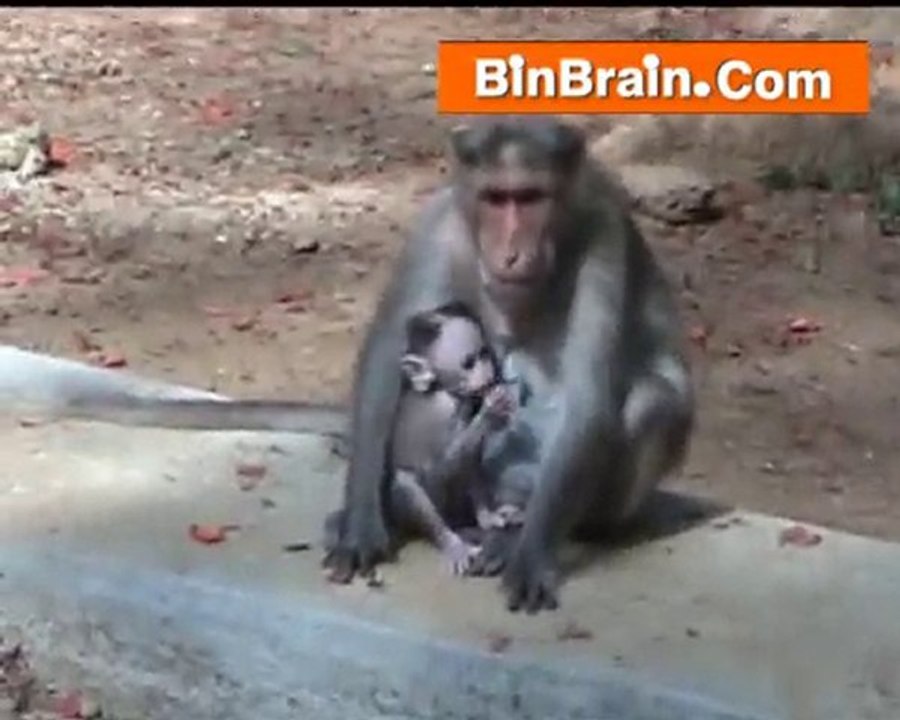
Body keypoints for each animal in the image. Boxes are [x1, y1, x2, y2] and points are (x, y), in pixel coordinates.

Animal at [324, 301, 519, 576]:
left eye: (484, 354)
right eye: (468, 363)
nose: (489, 373)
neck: (444, 390)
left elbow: (469, 461)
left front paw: (489, 516)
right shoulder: (438, 413)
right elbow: (439, 469)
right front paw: (491, 412)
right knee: (407, 482)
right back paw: (451, 542)